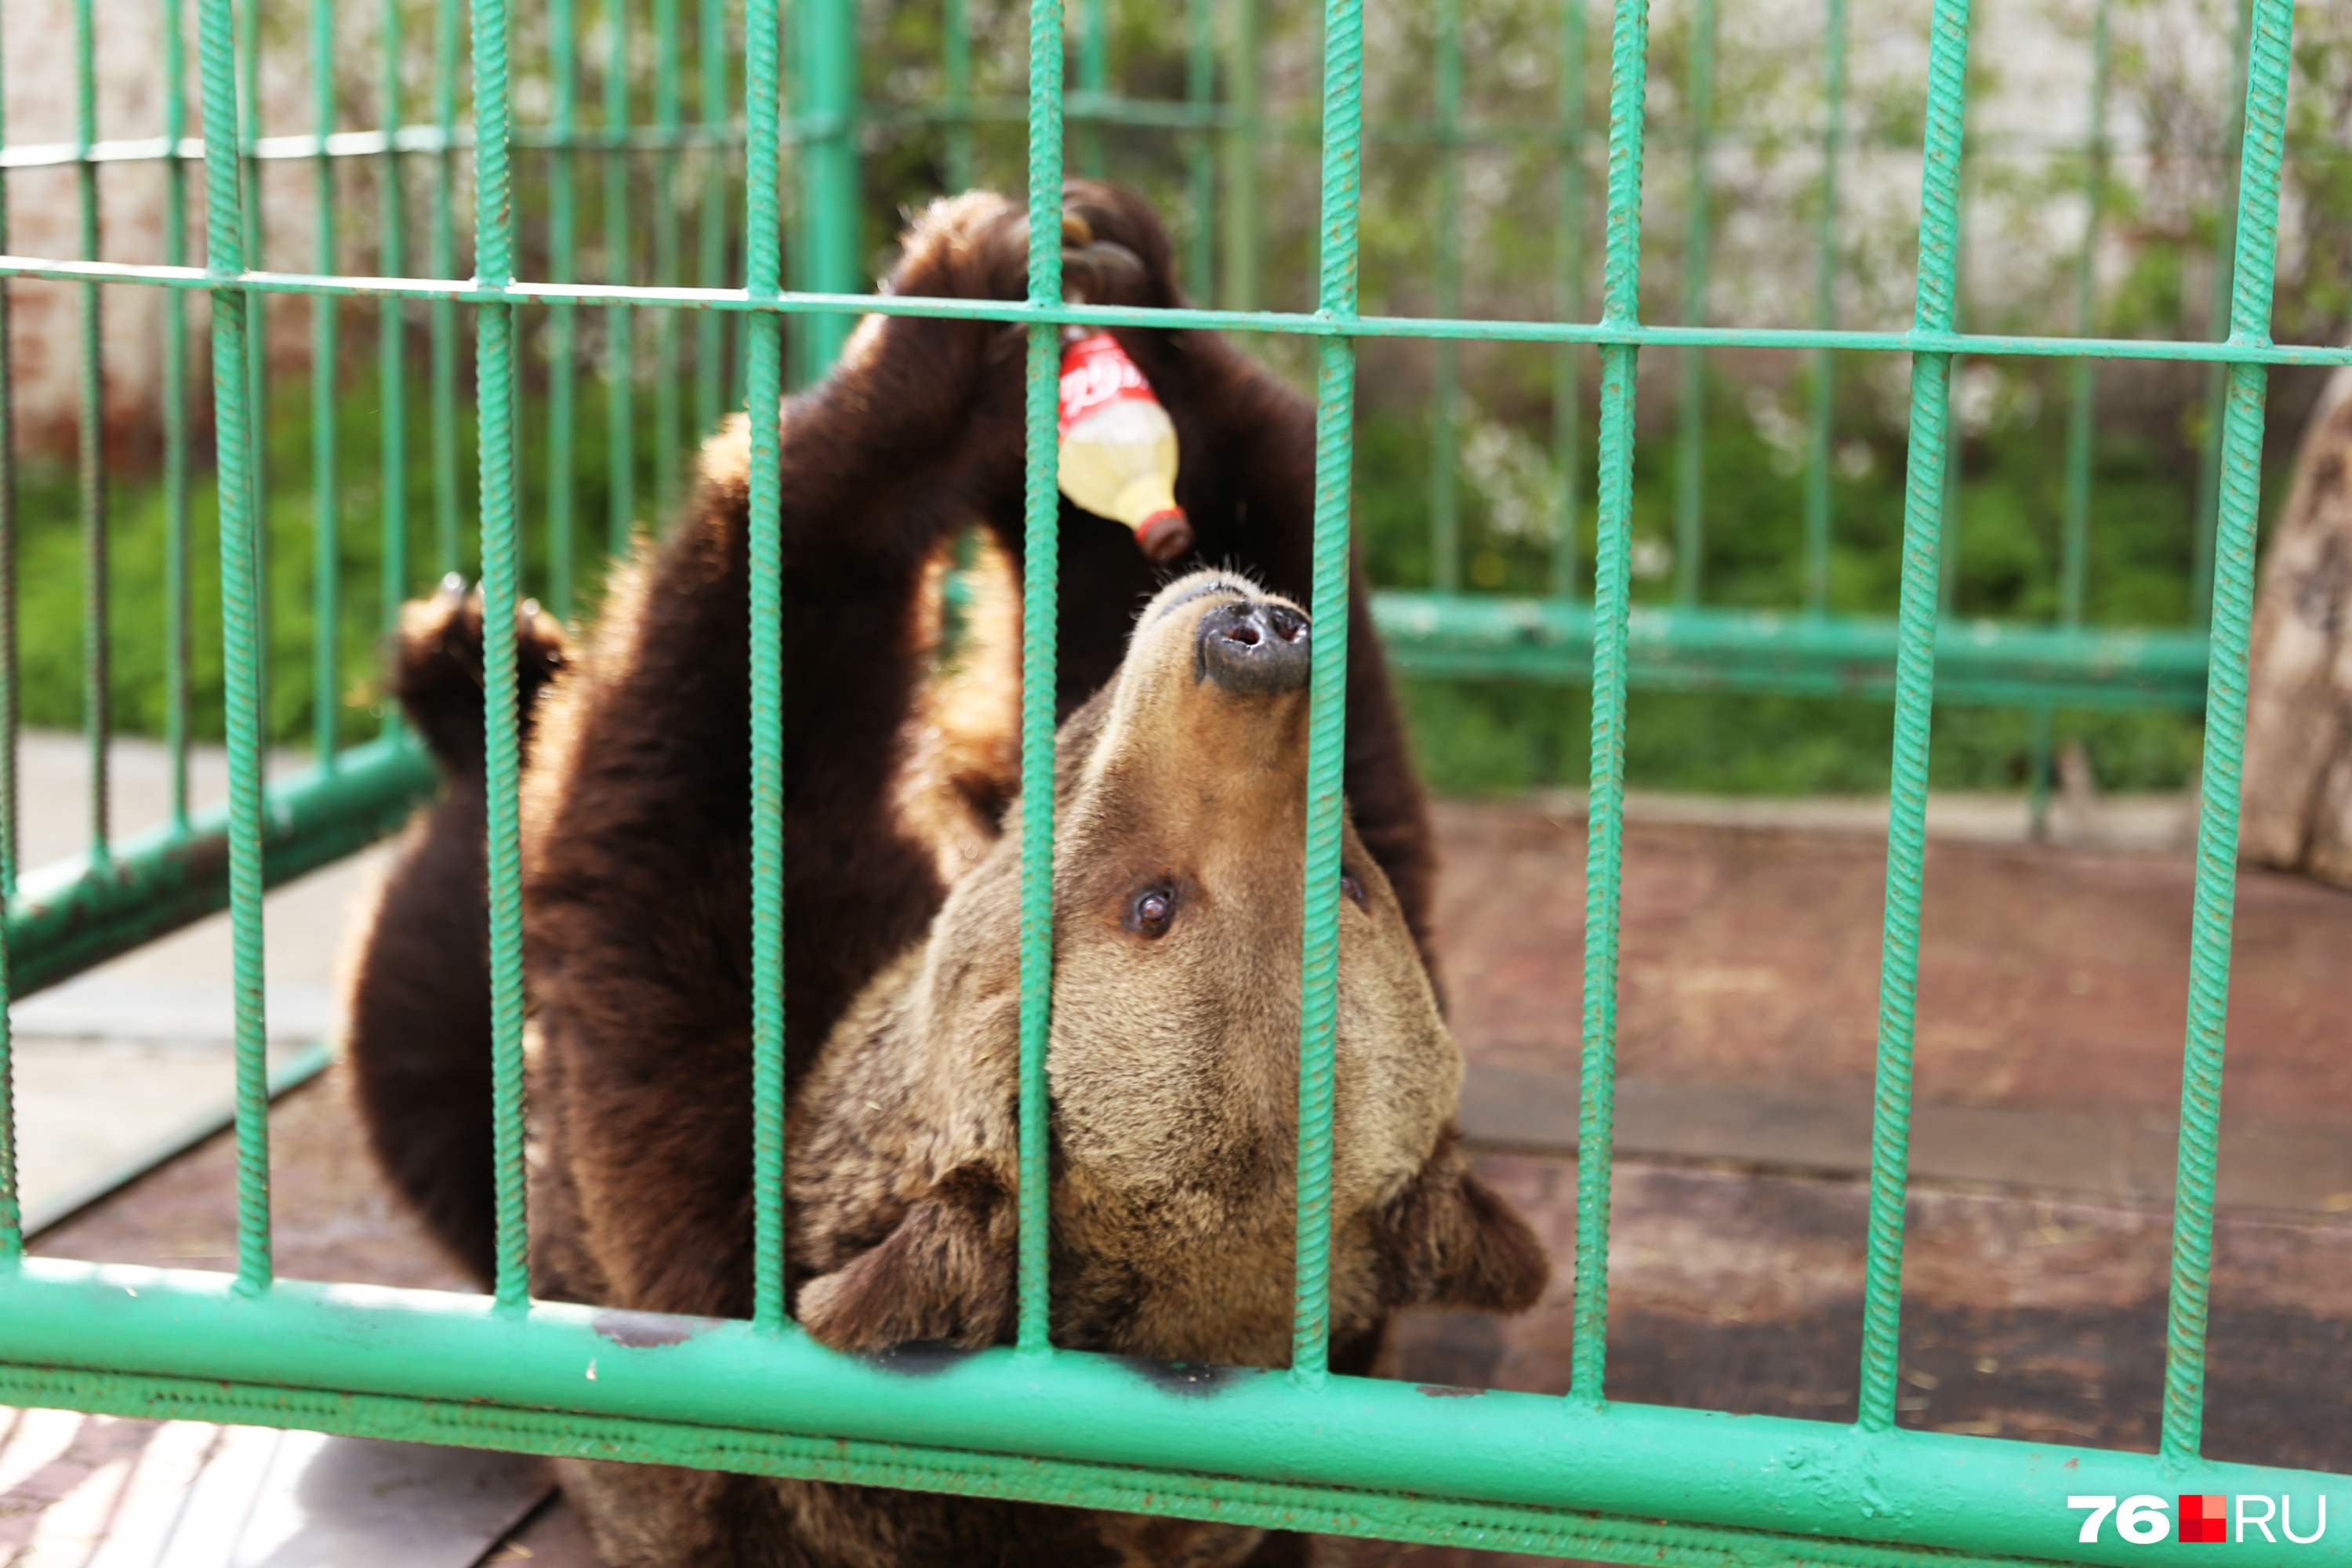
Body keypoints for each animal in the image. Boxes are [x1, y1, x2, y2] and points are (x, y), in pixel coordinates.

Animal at [350, 180, 1439, 1288]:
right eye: (1342, 880)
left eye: (1152, 902)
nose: (1251, 644)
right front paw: (1115, 281)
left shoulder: (703, 1095)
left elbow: (716, 727)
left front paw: (952, 310)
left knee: (433, 957)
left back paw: (466, 678)